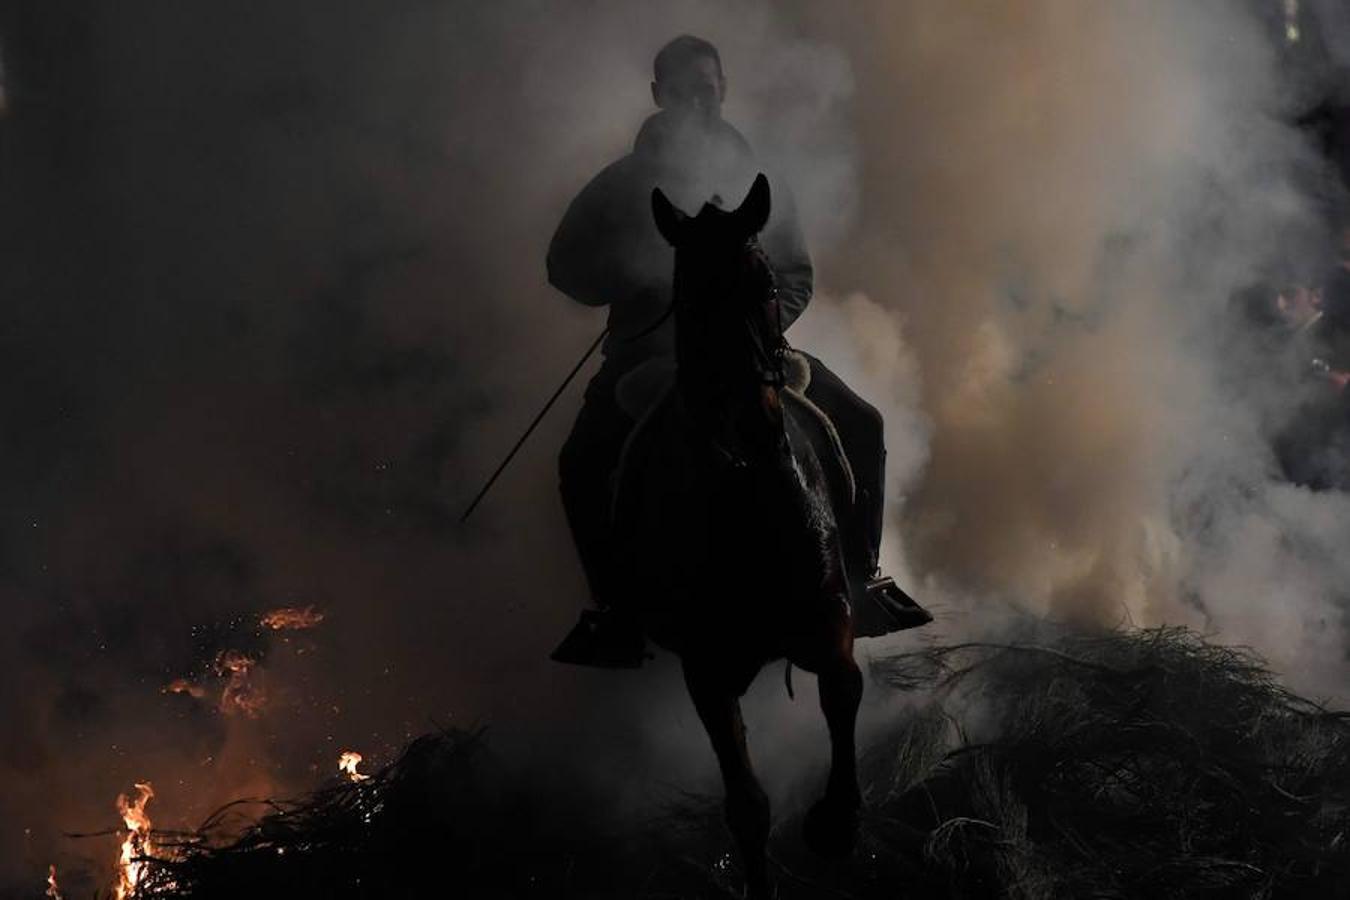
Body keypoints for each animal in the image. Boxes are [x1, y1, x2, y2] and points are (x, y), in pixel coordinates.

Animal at [615, 175, 864, 900]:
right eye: (690, 298)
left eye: (767, 285)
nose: (755, 427)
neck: (748, 502)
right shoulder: (706, 669)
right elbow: (747, 806)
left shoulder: (829, 617)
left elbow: (844, 688)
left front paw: (837, 822)